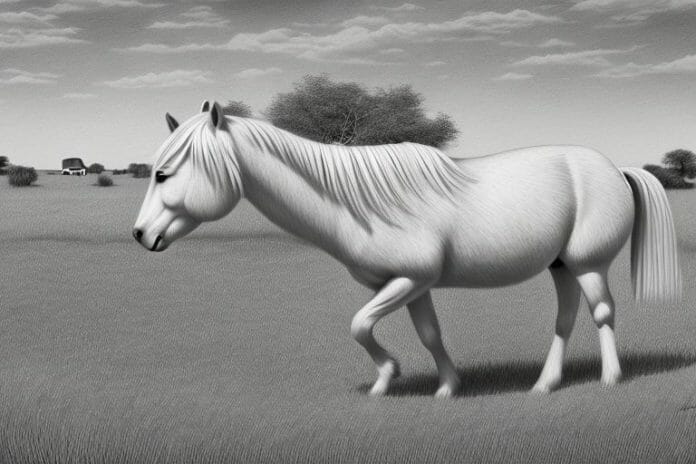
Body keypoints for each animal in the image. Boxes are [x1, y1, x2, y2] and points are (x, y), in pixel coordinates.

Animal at [133, 101, 681, 398]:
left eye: (164, 173)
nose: (140, 236)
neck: (357, 205)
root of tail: (614, 168)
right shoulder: (414, 286)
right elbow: (429, 334)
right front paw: (447, 388)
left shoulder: (407, 280)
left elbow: (359, 325)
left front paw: (387, 377)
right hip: (560, 265)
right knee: (565, 318)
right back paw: (545, 384)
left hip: (588, 264)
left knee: (603, 313)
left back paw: (610, 378)